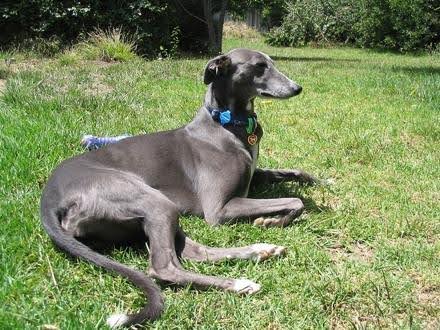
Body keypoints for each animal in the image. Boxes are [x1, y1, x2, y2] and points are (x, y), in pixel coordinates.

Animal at [39, 48, 318, 328]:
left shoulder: (254, 175)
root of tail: (50, 196)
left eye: (271, 62)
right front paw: (272, 221)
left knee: (195, 251)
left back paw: (258, 251)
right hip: (151, 201)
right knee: (164, 267)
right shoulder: (219, 209)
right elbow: (296, 201)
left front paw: (316, 181)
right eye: (260, 66)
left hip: (150, 215)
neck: (226, 124)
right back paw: (238, 283)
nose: (297, 88)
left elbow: (292, 173)